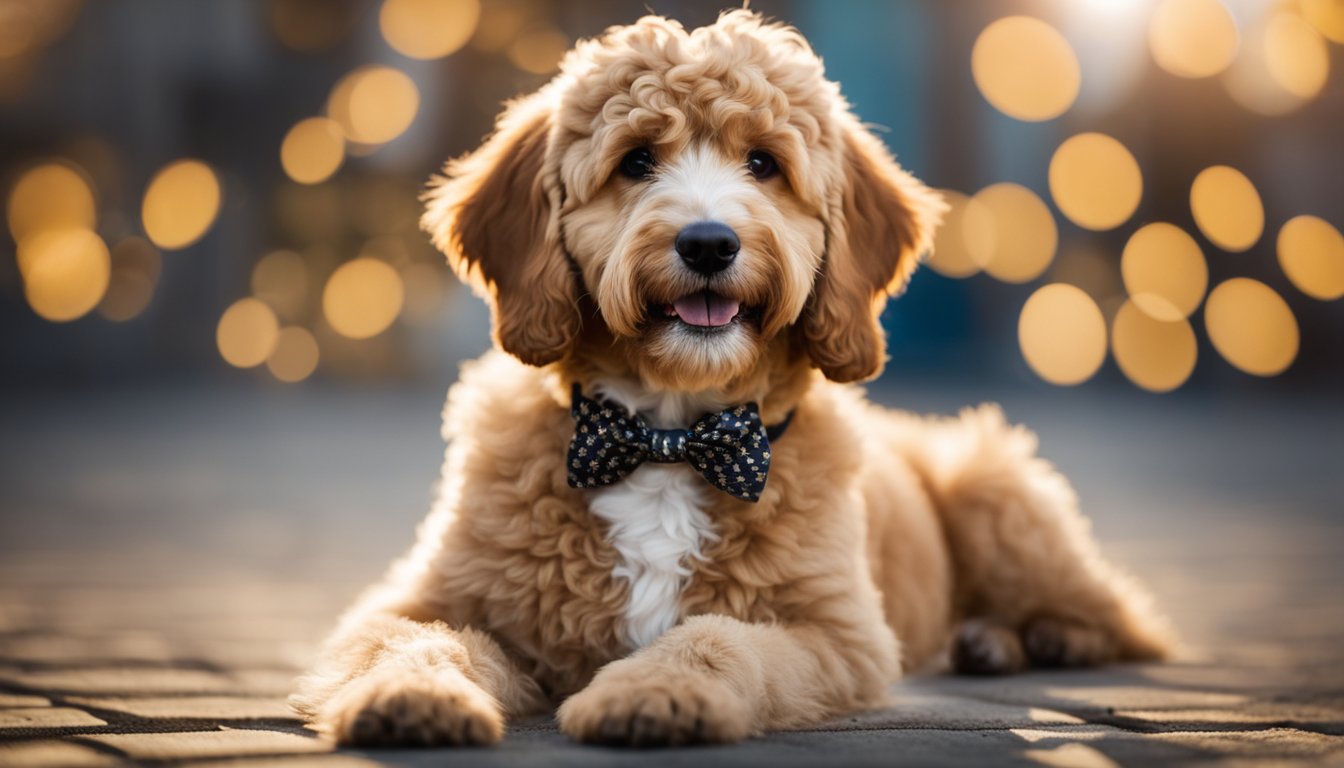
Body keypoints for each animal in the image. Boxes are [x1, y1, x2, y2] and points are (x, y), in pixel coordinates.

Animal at [288, 8, 1171, 747]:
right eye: (637, 159)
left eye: (763, 164)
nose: (709, 243)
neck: (672, 435)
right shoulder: (422, 599)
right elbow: (413, 639)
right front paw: (410, 698)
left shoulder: (836, 635)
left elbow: (719, 637)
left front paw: (651, 694)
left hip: (997, 490)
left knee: (1120, 618)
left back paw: (1019, 636)